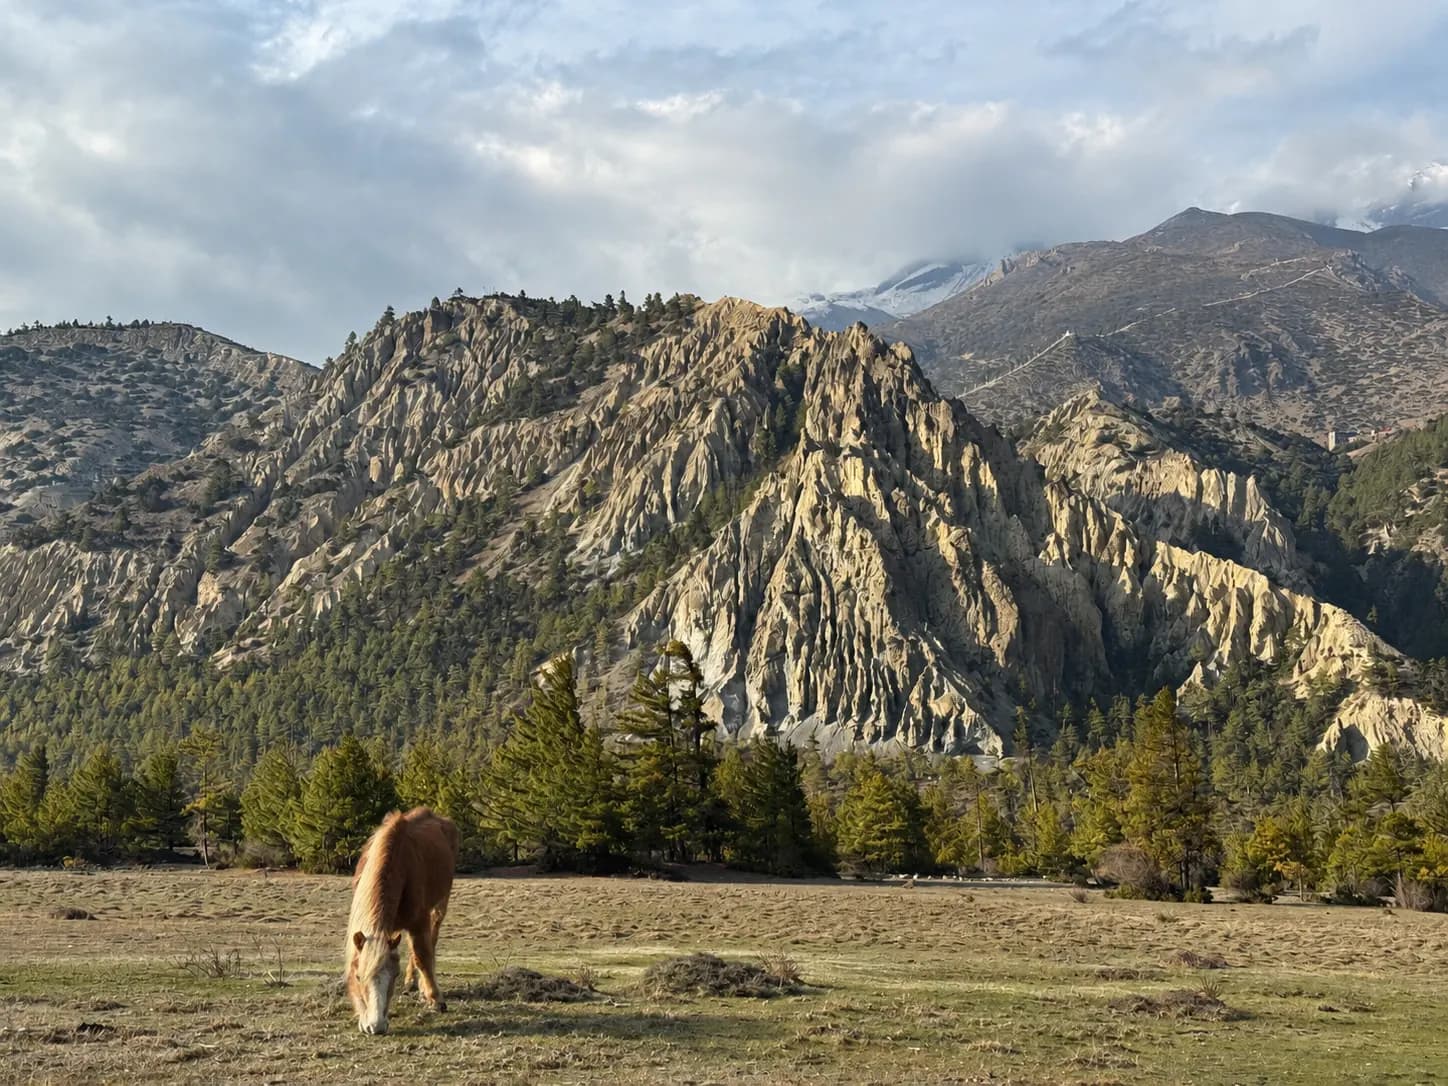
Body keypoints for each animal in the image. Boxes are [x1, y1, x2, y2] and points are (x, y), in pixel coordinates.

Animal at [345, 807, 459, 1035]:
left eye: (394, 975)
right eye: (358, 976)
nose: (376, 1027)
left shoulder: (419, 921)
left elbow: (423, 956)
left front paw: (435, 999)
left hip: (439, 905)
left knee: (430, 941)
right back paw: (412, 983)